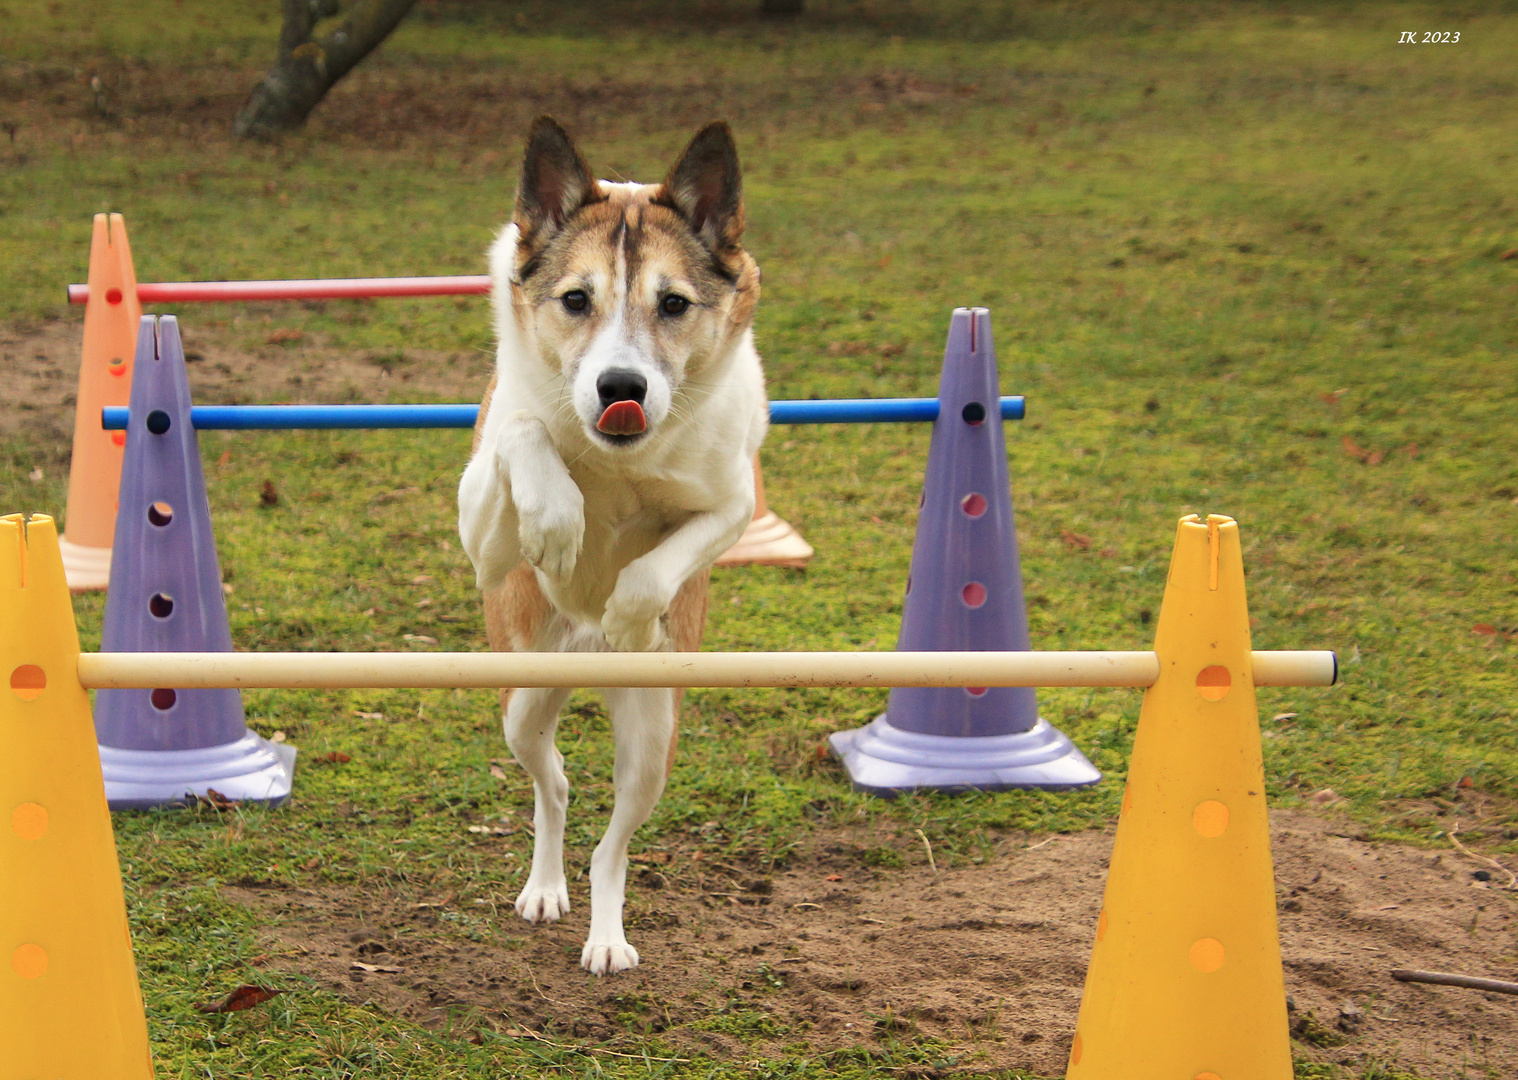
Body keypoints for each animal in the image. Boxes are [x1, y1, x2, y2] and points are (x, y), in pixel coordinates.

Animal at [446, 118, 759, 978]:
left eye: (674, 304)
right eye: (576, 300)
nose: (622, 387)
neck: (617, 461)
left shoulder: (736, 499)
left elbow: (664, 560)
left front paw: (627, 614)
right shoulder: (481, 534)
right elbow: (527, 431)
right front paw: (556, 521)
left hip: (652, 737)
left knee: (613, 845)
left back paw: (607, 935)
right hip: (522, 699)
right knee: (552, 787)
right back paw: (545, 888)